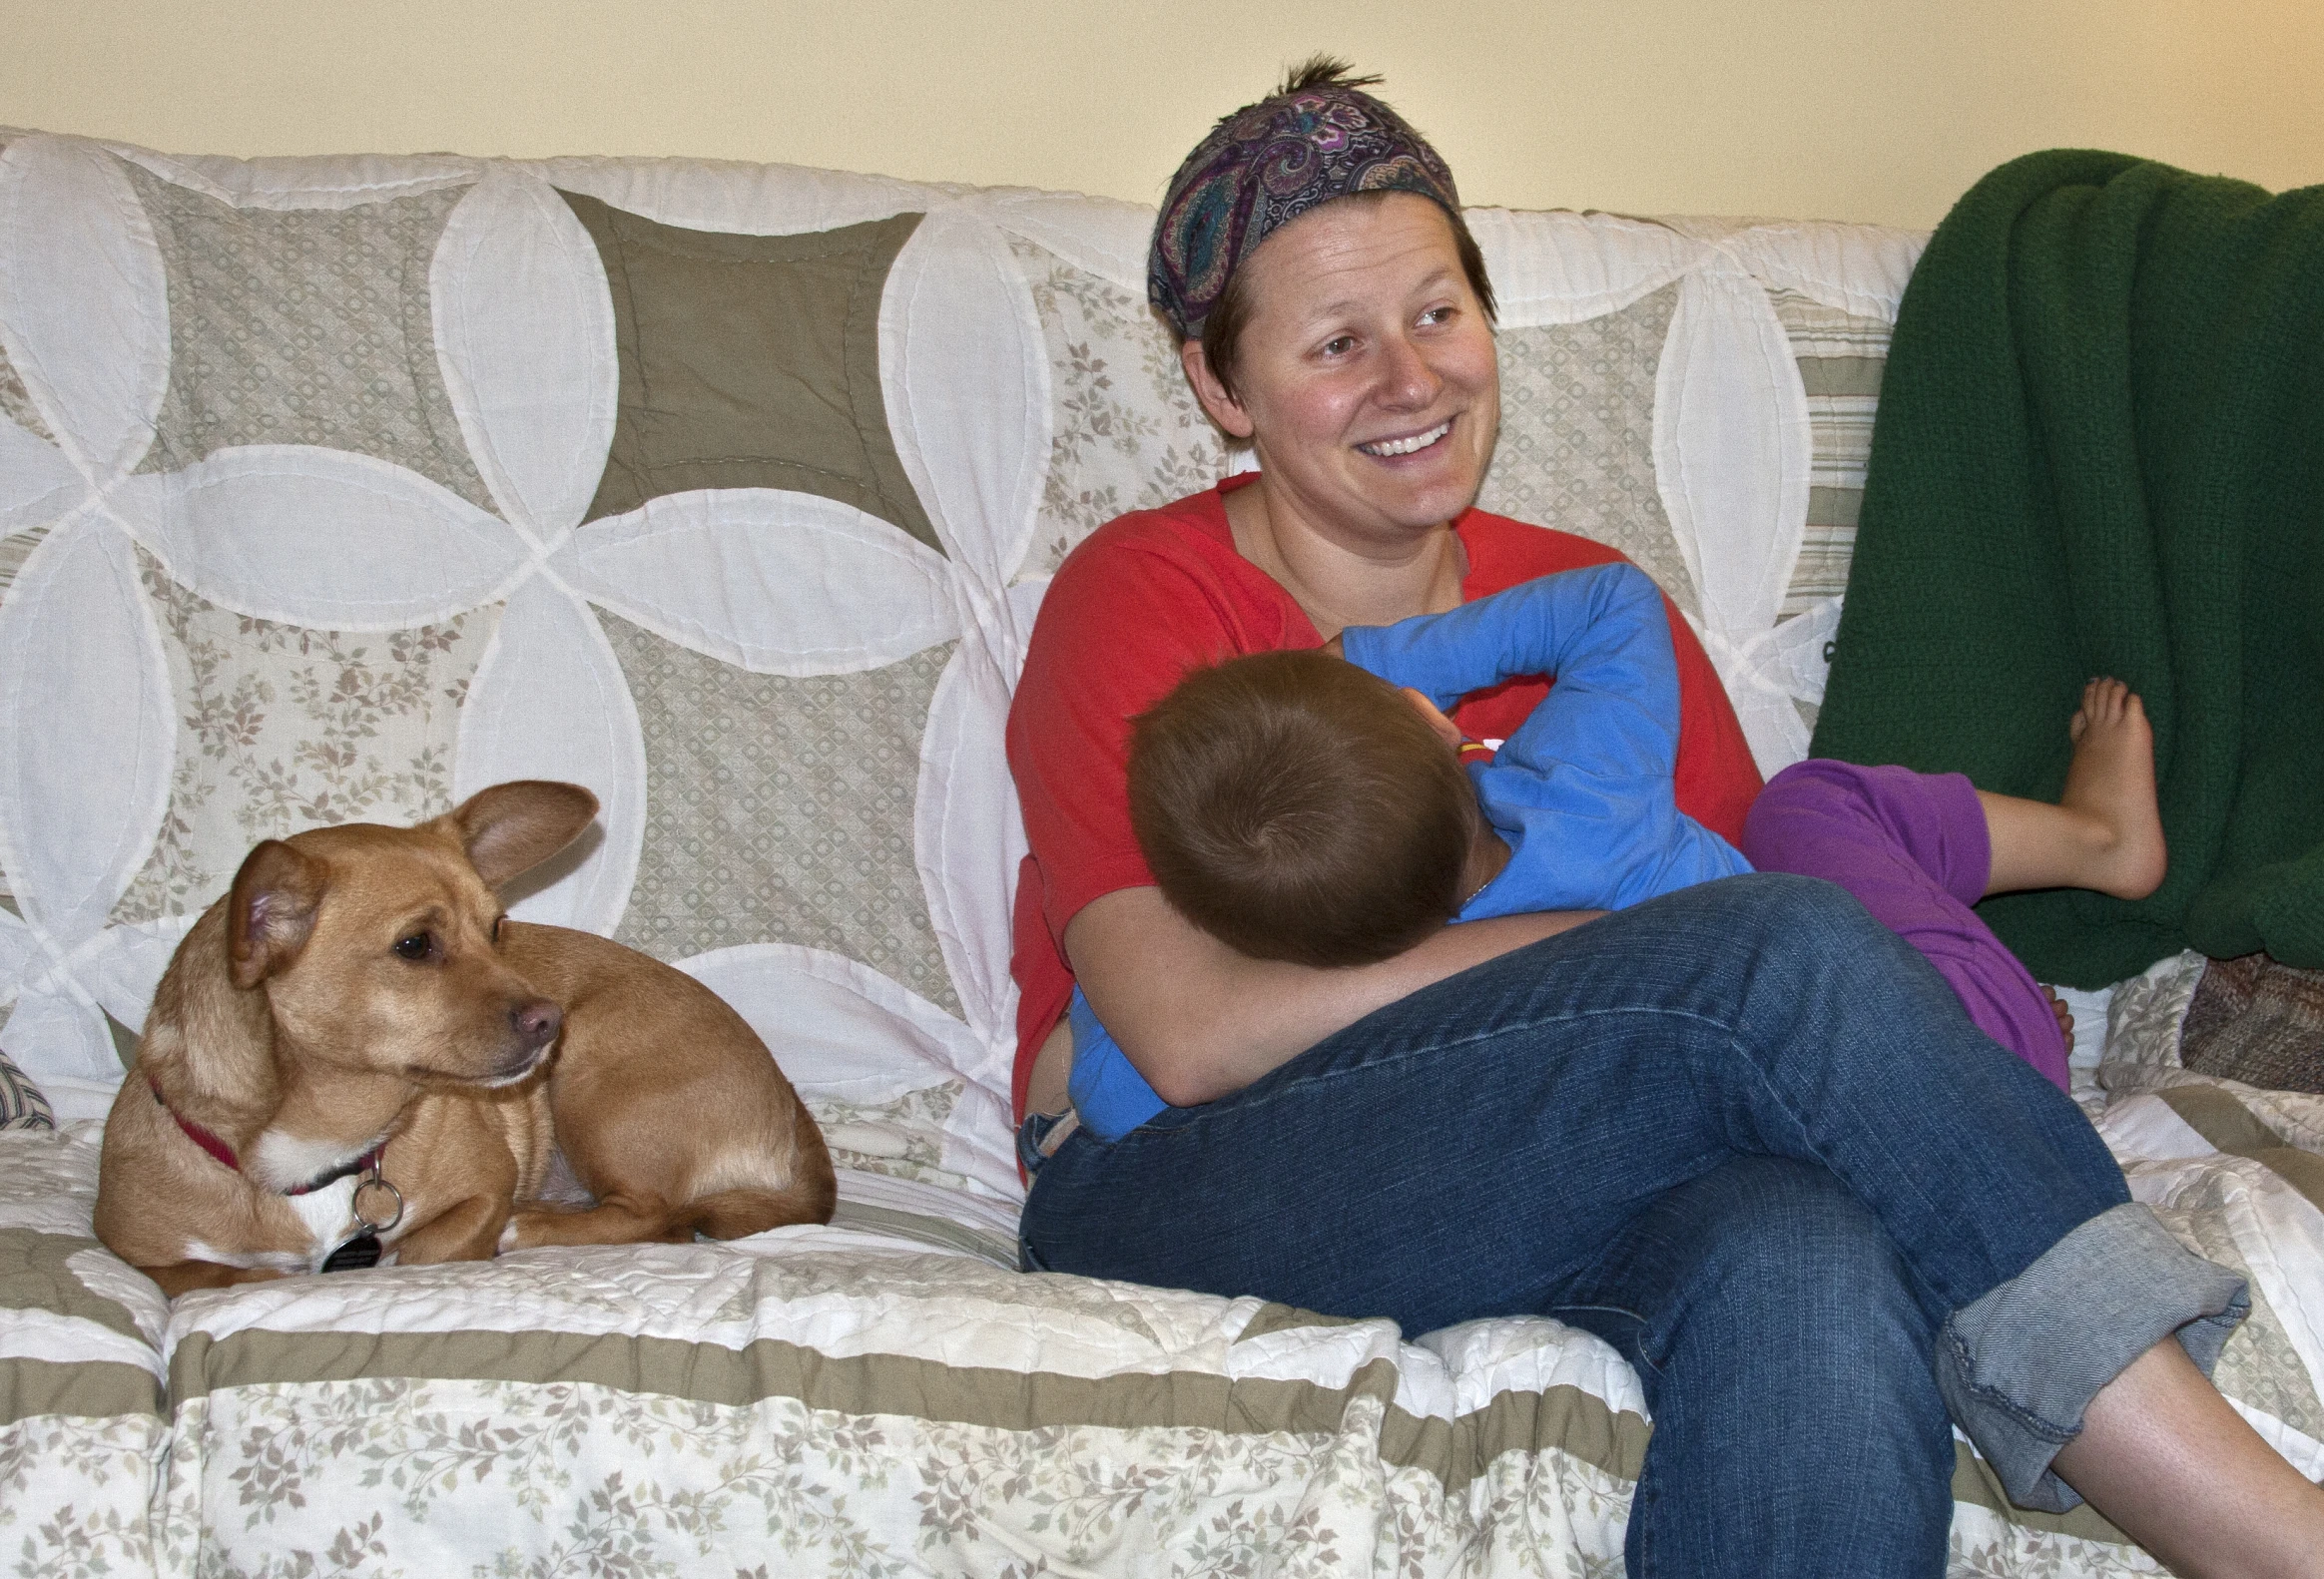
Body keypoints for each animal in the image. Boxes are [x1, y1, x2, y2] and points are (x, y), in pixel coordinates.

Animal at [95, 776, 837, 1291]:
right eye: (415, 945)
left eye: (497, 929)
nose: (550, 1019)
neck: (323, 1148)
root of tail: (793, 1110)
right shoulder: (135, 1251)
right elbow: (212, 1274)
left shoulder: (484, 1189)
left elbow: (423, 1250)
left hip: (597, 1088)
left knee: (659, 1218)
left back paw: (535, 1225)